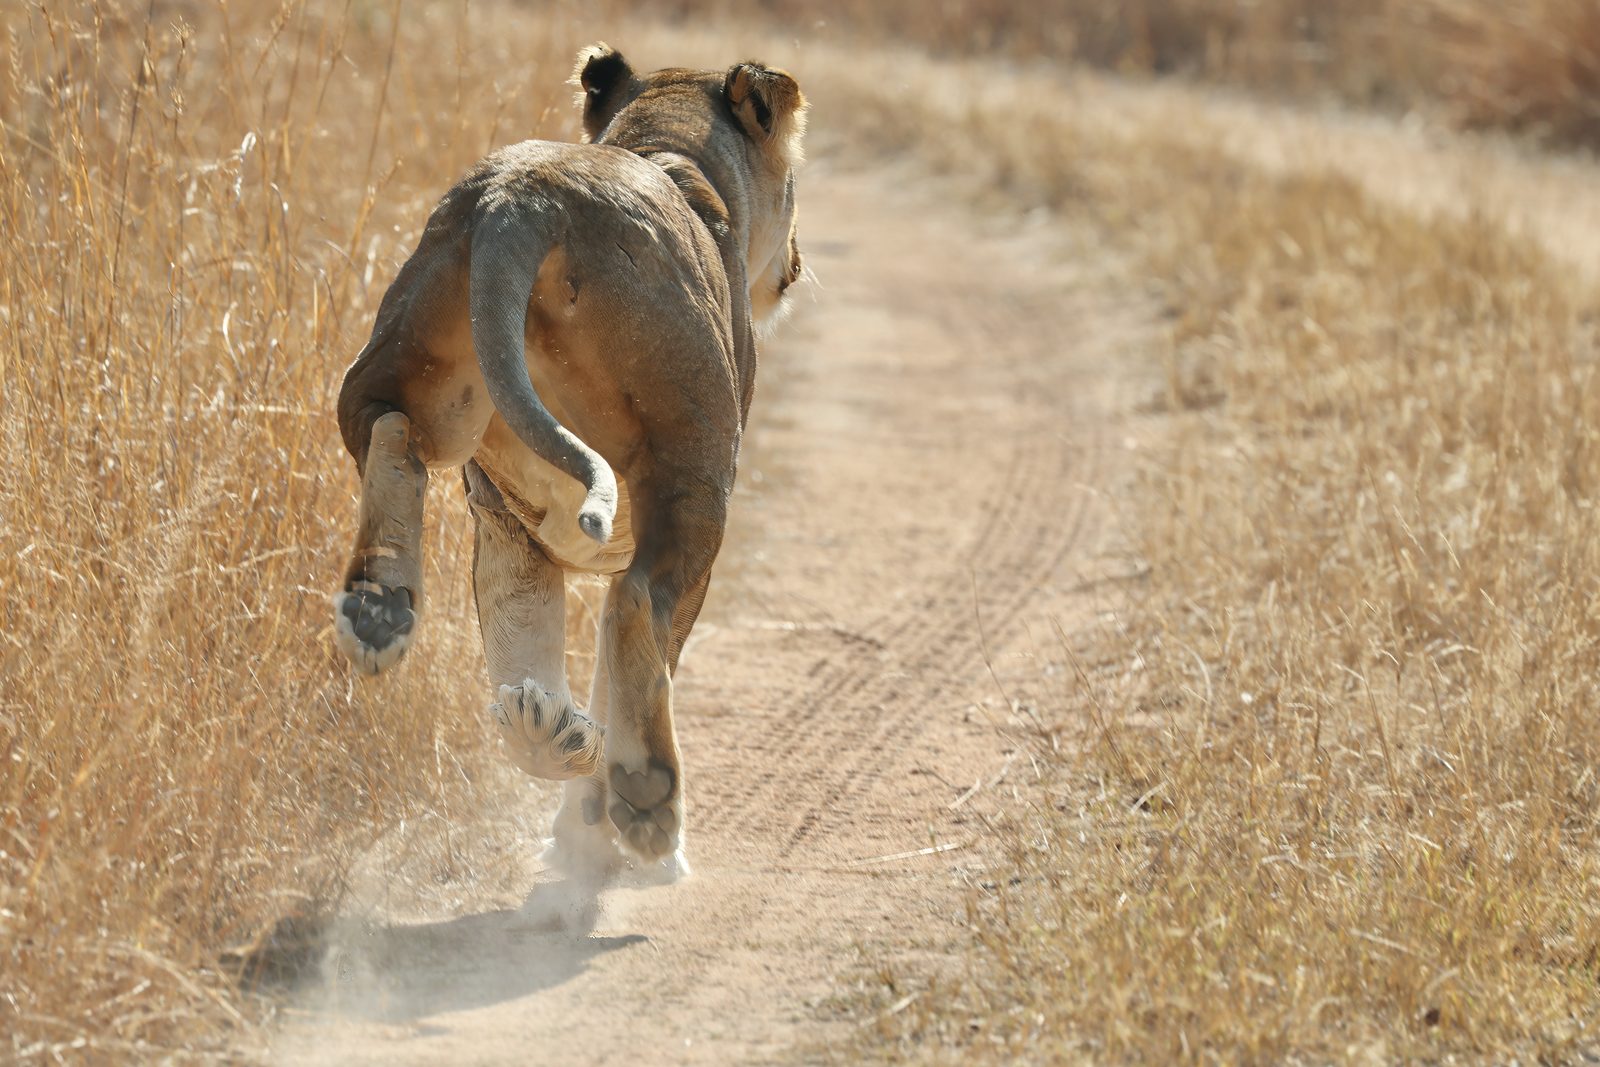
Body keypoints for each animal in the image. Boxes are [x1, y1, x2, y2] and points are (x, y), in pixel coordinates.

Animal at [329, 45, 806, 884]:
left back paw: (385, 615)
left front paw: (561, 752)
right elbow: (622, 657)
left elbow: (527, 633)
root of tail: (525, 201)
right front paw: (594, 822)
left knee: (386, 428)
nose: (798, 260)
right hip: (693, 472)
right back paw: (646, 800)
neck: (671, 147)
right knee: (638, 605)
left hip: (423, 381)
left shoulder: (510, 525)